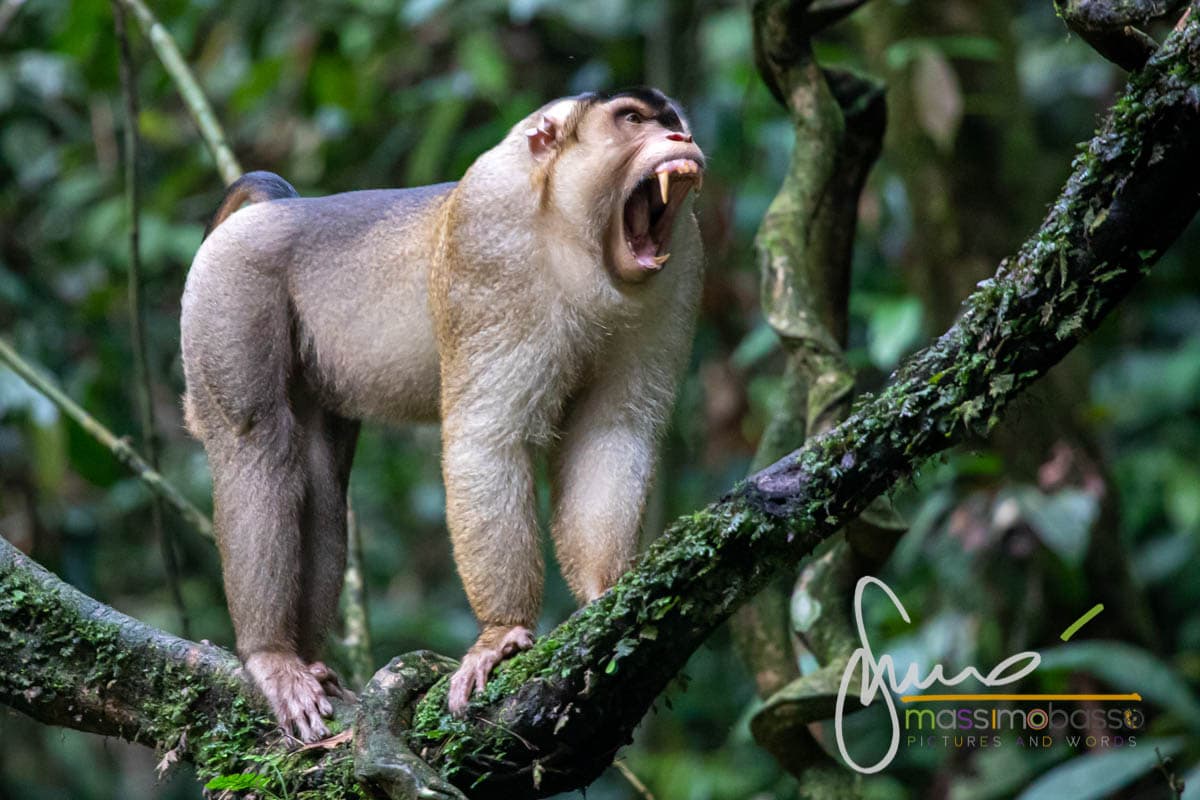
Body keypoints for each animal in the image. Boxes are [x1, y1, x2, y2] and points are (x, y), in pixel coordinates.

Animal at [180, 87, 705, 742]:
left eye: (672, 121)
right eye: (631, 119)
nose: (682, 139)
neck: (572, 239)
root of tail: (273, 213)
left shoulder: (680, 269)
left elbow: (613, 433)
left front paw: (607, 595)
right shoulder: (490, 239)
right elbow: (486, 439)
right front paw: (502, 633)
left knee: (320, 478)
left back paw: (305, 658)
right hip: (229, 288)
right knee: (257, 447)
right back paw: (271, 656)